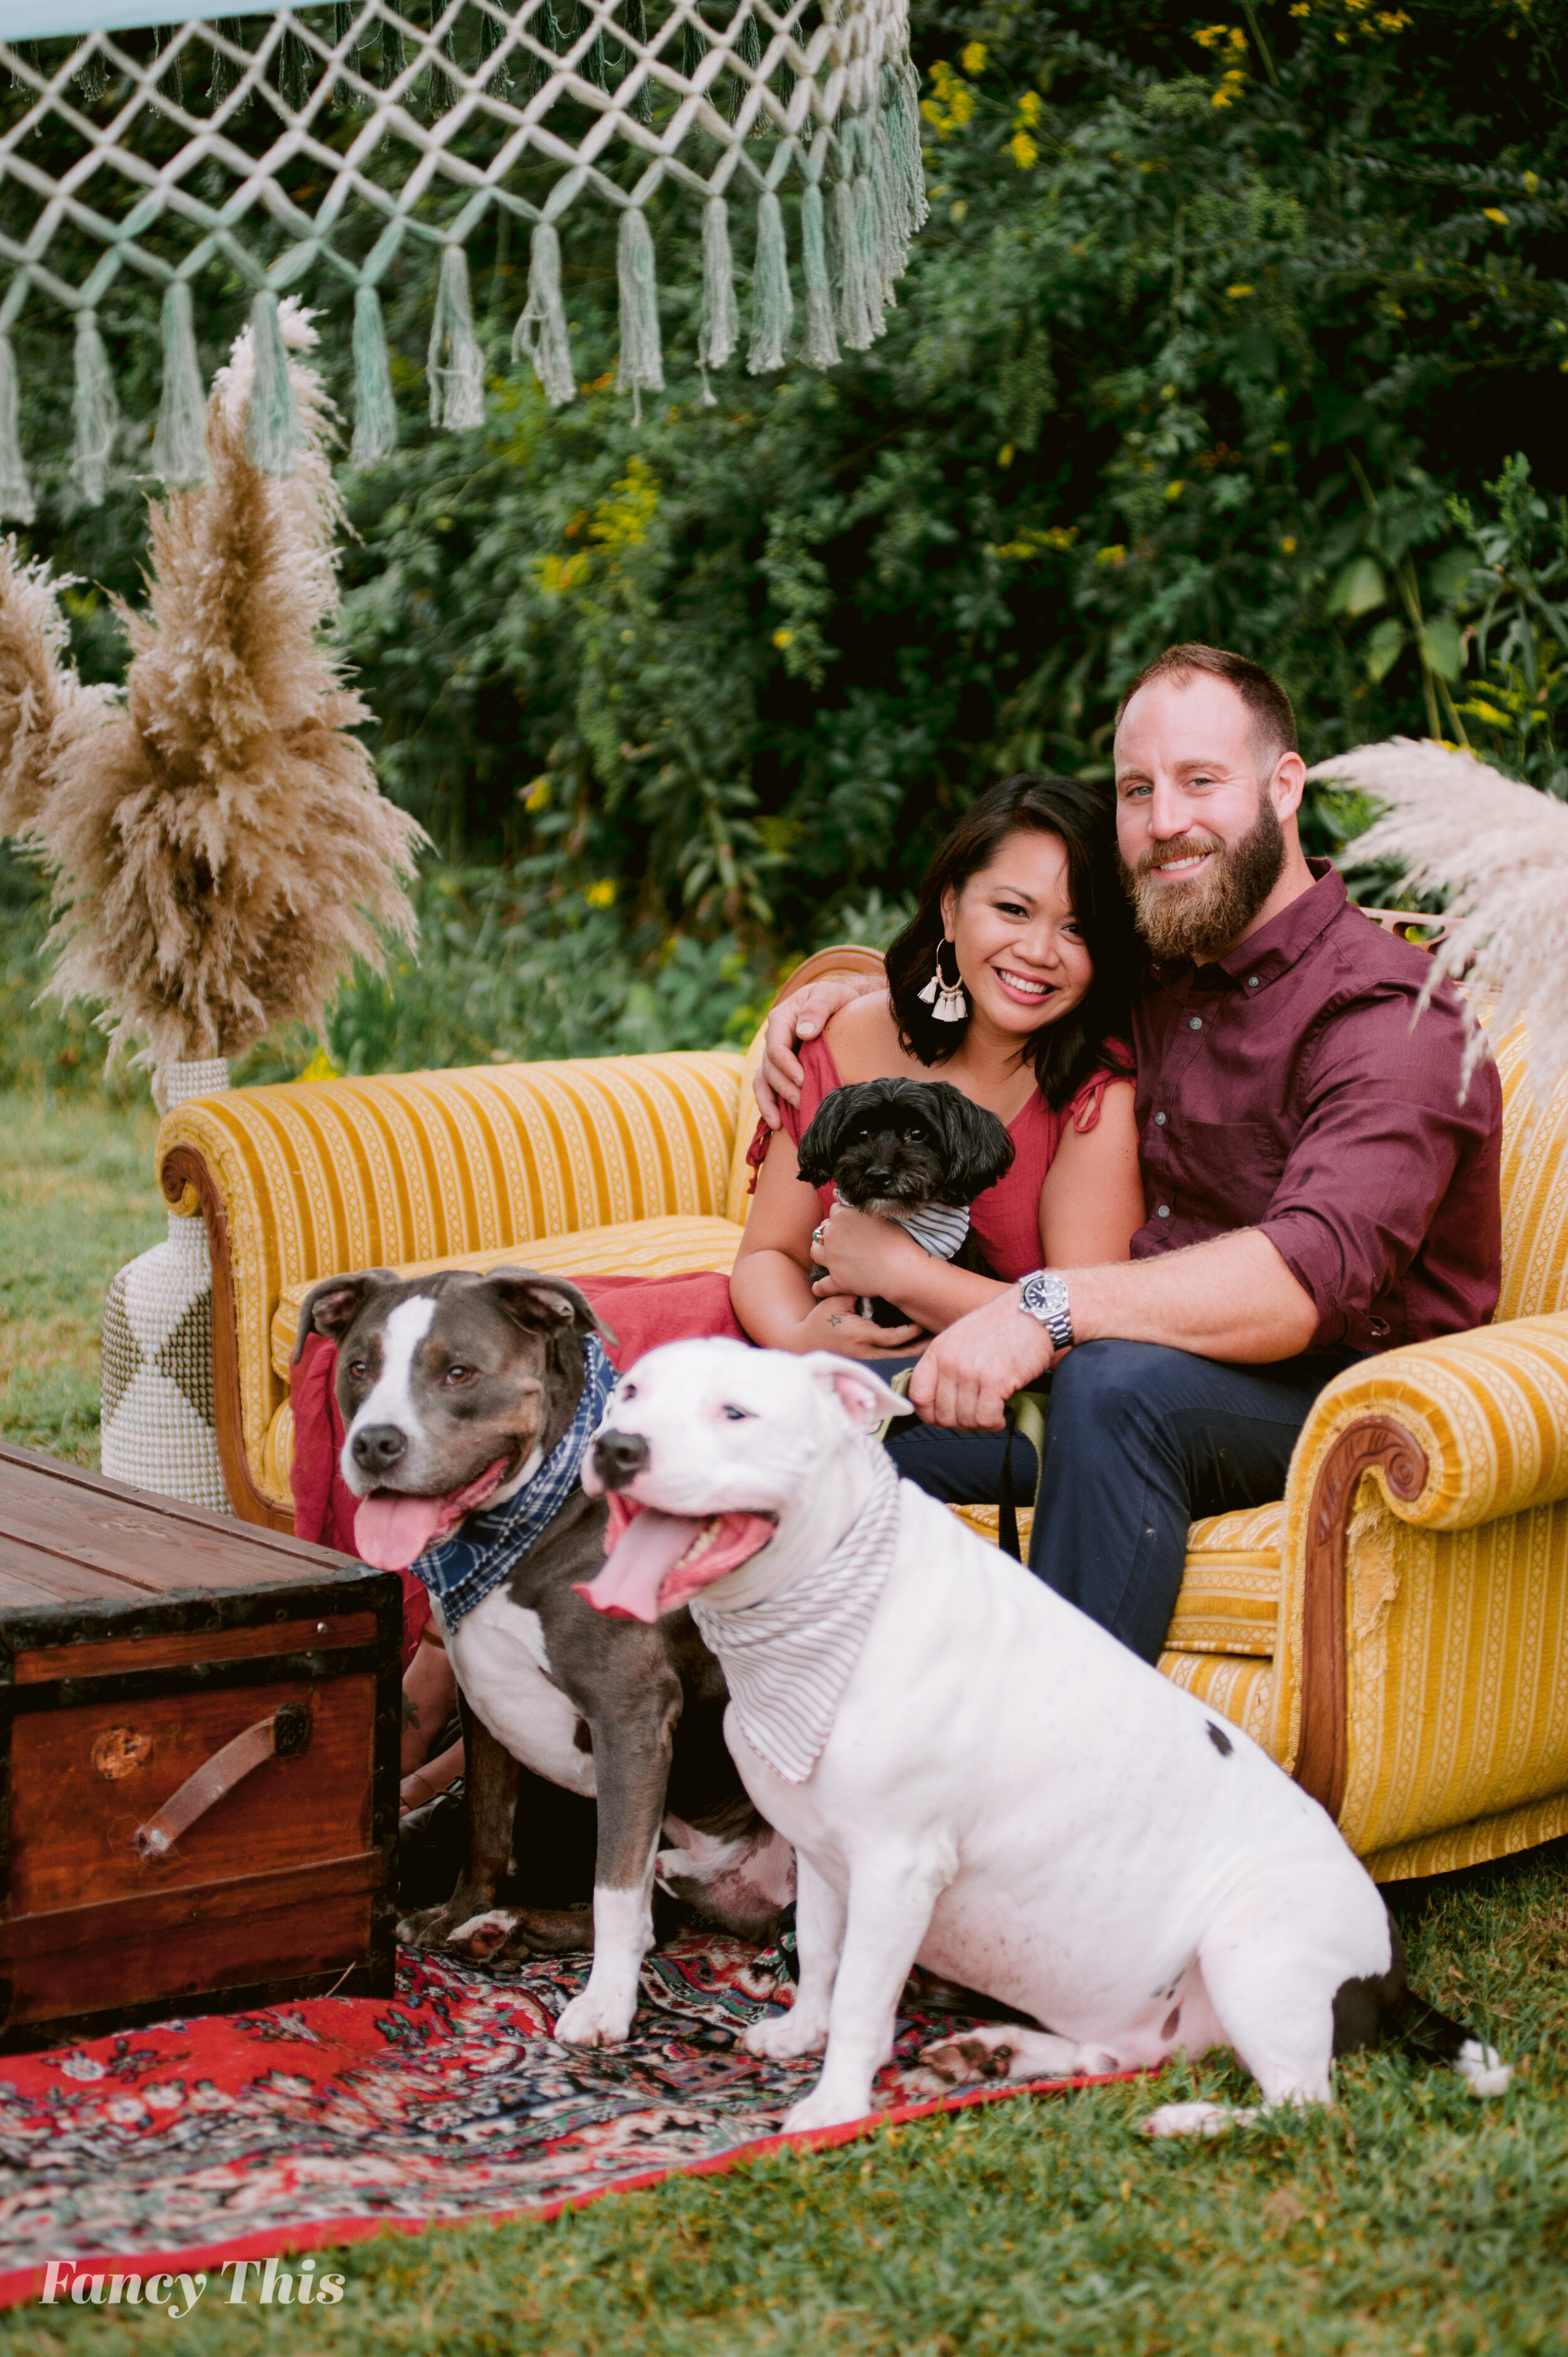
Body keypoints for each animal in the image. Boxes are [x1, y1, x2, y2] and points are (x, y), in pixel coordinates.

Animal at [290, 1263, 797, 2055]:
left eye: (459, 1372)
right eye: (360, 1367)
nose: (374, 1443)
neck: (537, 1518)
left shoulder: (631, 1718)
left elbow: (613, 1885)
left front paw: (606, 2006)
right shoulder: (483, 1699)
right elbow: (486, 1830)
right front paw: (459, 1911)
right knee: (658, 1920)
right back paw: (497, 1928)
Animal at [580, 1348, 1509, 2140]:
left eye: (736, 1412)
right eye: (630, 1391)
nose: (616, 1447)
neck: (831, 1609)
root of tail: (1392, 1976)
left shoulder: (895, 1867)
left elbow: (861, 2000)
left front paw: (835, 2105)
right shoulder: (823, 1853)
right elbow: (821, 1956)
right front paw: (799, 2034)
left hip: (1257, 1949)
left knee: (1303, 2105)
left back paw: (1190, 2118)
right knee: (1124, 2055)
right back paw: (1001, 2051)